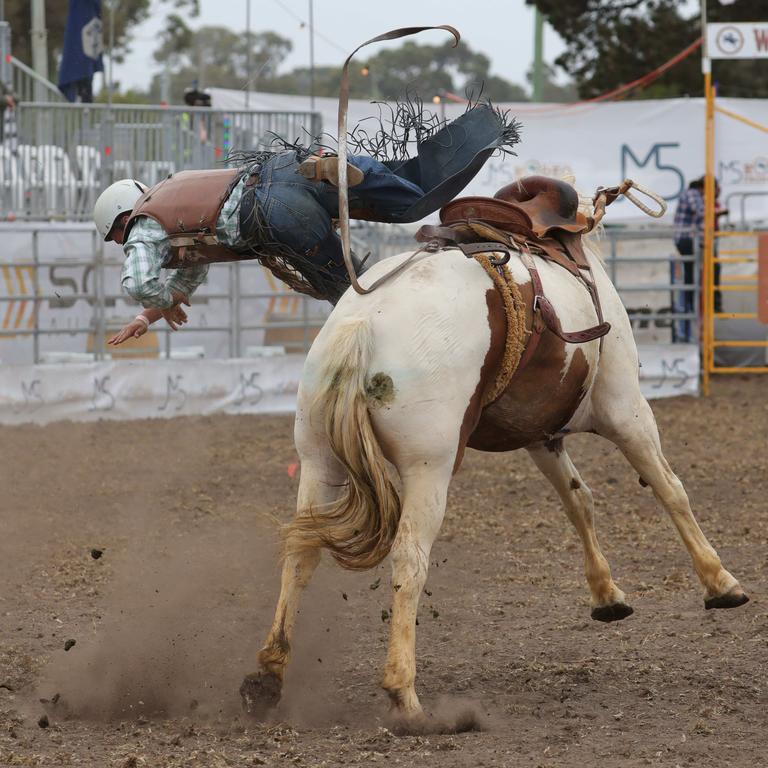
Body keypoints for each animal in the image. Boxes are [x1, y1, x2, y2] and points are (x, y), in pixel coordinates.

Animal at [242, 208, 752, 720]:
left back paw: (268, 674)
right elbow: (669, 489)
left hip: (318, 462)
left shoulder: (540, 433)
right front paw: (720, 582)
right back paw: (403, 691)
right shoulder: (625, 409)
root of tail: (362, 327)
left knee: (301, 552)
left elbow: (578, 500)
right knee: (409, 557)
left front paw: (606, 593)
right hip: (428, 468)